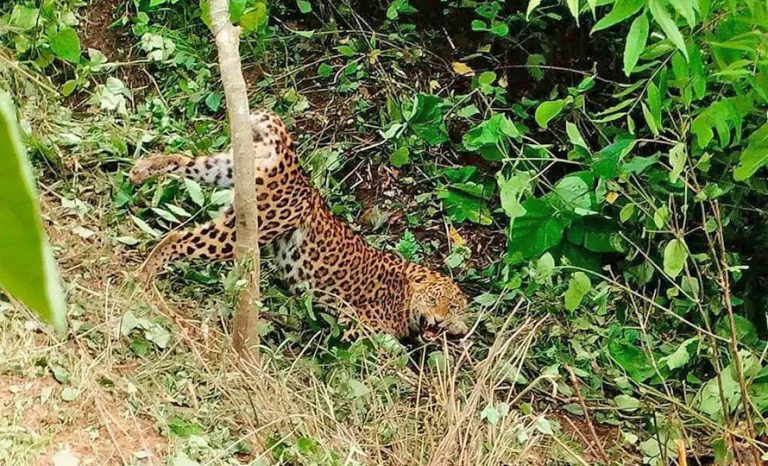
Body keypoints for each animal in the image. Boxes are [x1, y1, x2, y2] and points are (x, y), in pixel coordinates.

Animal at [129, 111, 468, 340]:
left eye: (453, 308)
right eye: (434, 301)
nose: (439, 321)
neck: (406, 291)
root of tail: (294, 165)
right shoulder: (357, 327)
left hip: (226, 168)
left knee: (185, 160)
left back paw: (142, 168)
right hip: (244, 228)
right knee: (177, 236)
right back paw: (144, 276)